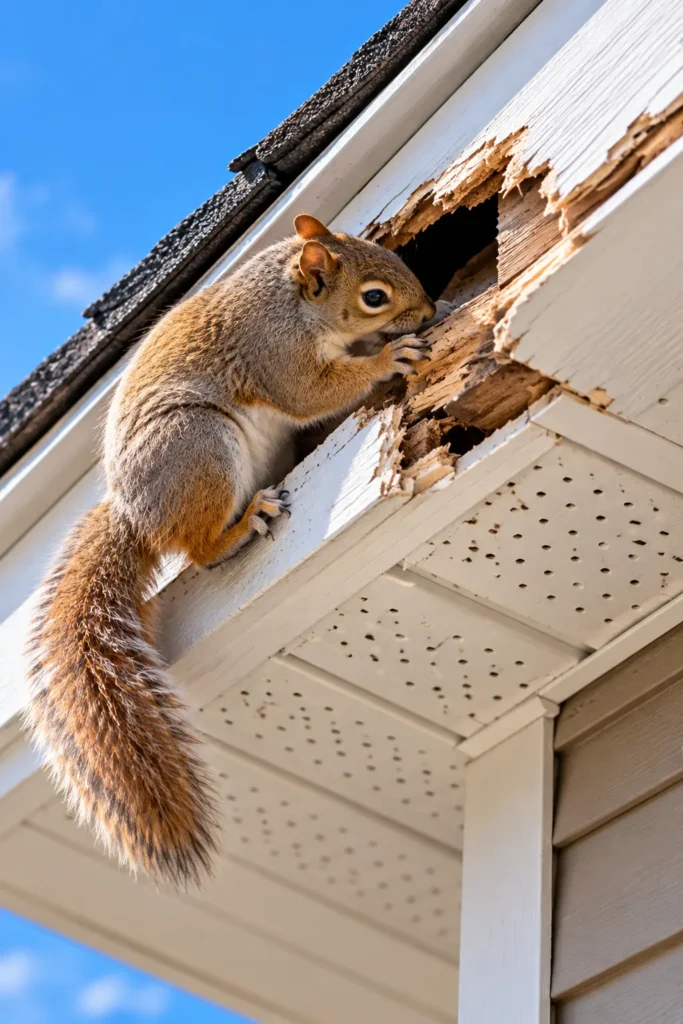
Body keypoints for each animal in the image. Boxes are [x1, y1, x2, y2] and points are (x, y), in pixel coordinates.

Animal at [24, 214, 436, 888]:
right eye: (374, 296)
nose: (426, 311)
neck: (293, 303)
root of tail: (136, 516)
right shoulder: (275, 356)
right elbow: (313, 392)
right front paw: (389, 356)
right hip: (200, 445)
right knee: (199, 552)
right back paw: (241, 527)